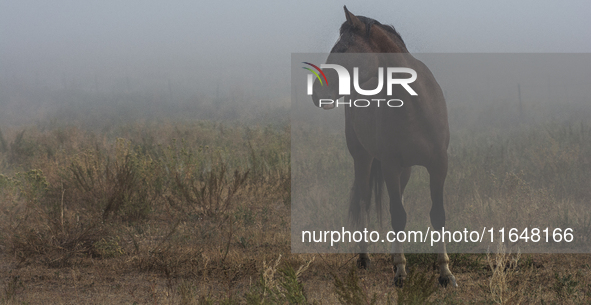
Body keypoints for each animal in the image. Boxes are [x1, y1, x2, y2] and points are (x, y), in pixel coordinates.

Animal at [312, 7, 460, 286]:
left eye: (344, 50)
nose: (316, 93)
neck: (416, 106)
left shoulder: (438, 165)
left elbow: (437, 215)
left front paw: (445, 273)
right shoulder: (390, 165)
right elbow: (398, 215)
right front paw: (401, 271)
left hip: (405, 169)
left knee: (396, 198)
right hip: (363, 158)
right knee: (364, 202)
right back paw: (364, 258)